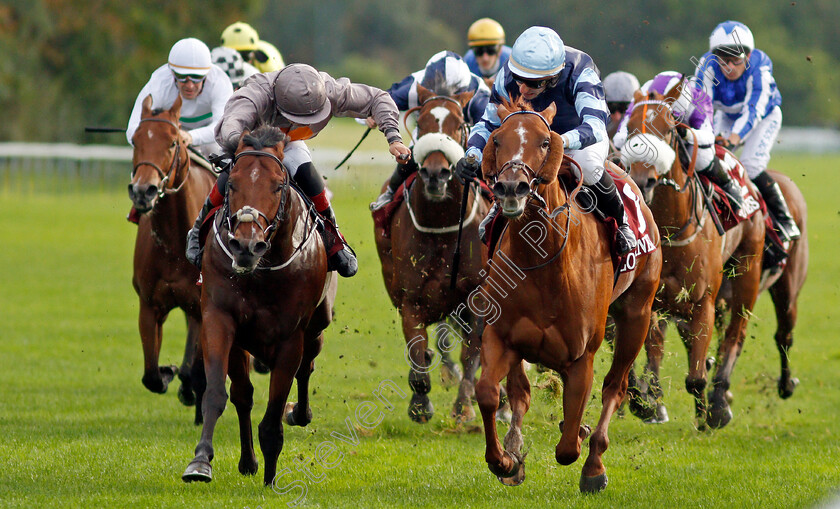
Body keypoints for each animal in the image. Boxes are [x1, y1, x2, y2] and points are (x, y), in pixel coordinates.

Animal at [127, 93, 215, 422]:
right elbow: (151, 375)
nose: (144, 190)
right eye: (136, 140)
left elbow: (197, 371)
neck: (176, 241)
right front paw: (167, 372)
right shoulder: (150, 304)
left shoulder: (204, 309)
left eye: (173, 142)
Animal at [184, 125, 338, 482]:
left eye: (278, 185)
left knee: (307, 367)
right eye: (231, 182)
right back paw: (247, 461)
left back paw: (300, 413)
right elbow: (219, 393)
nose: (245, 245)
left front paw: (270, 481)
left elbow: (273, 416)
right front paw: (201, 461)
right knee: (243, 394)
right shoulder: (219, 319)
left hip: (317, 326)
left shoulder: (290, 338)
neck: (261, 271)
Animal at [374, 85, 492, 422]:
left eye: (458, 124)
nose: (436, 173)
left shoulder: (477, 295)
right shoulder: (410, 297)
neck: (442, 225)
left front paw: (464, 407)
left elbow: (472, 353)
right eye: (423, 123)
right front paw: (420, 401)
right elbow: (417, 348)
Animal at [472, 100, 664, 492]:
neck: (543, 264)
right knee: (521, 391)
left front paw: (581, 443)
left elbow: (568, 444)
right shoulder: (501, 337)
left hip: (636, 314)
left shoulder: (581, 354)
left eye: (546, 142)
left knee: (615, 386)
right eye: (496, 140)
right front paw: (504, 460)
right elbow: (488, 392)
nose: (511, 187)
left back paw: (594, 463)